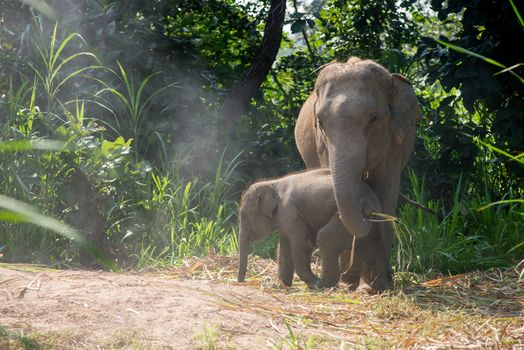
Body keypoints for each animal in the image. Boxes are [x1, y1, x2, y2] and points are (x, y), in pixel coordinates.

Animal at [236, 168, 388, 292]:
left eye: (244, 215)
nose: (241, 282)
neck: (272, 183)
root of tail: (369, 200)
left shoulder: (291, 212)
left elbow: (302, 244)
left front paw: (310, 283)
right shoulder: (285, 219)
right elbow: (284, 246)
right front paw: (283, 285)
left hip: (345, 222)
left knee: (325, 239)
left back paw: (321, 285)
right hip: (374, 226)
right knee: (375, 249)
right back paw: (381, 290)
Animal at [294, 56, 422, 288]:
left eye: (374, 118)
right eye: (321, 121)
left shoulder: (394, 142)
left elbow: (385, 190)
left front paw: (379, 285)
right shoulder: (322, 145)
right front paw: (350, 282)